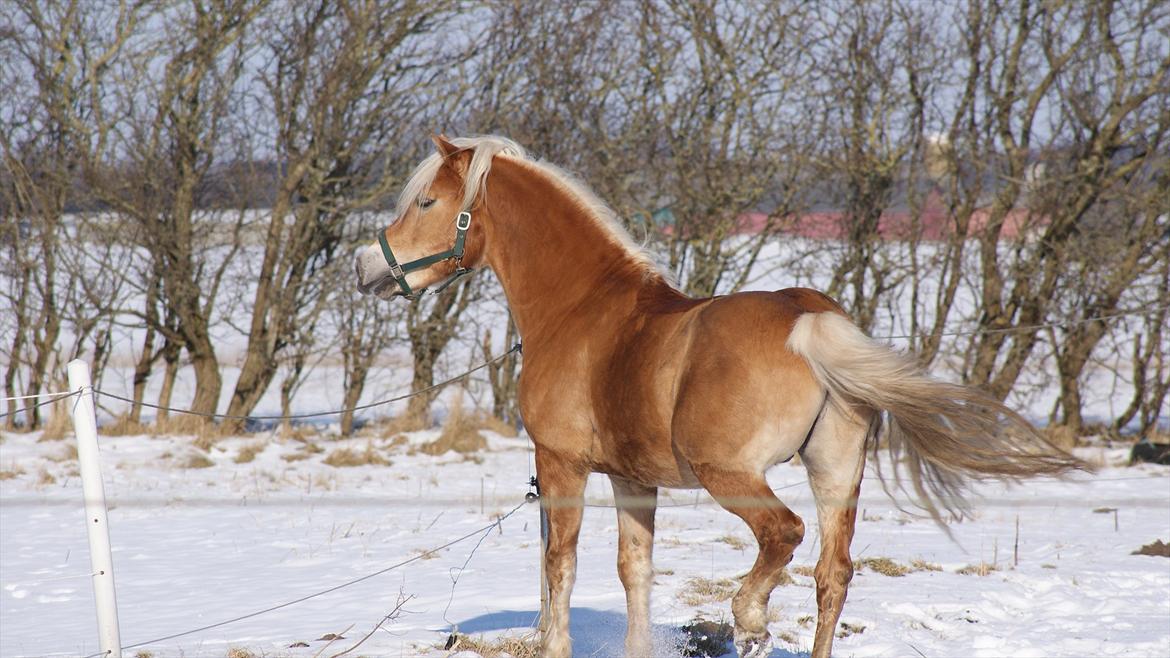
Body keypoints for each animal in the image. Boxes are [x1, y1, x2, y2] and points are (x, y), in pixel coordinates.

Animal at [351, 134, 1081, 655]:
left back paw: (749, 619)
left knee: (784, 535)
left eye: (426, 201)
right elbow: (635, 572)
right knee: (833, 575)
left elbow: (560, 568)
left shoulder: (561, 465)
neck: (584, 311)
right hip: (836, 472)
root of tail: (807, 316)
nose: (365, 268)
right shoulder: (632, 479)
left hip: (729, 473)